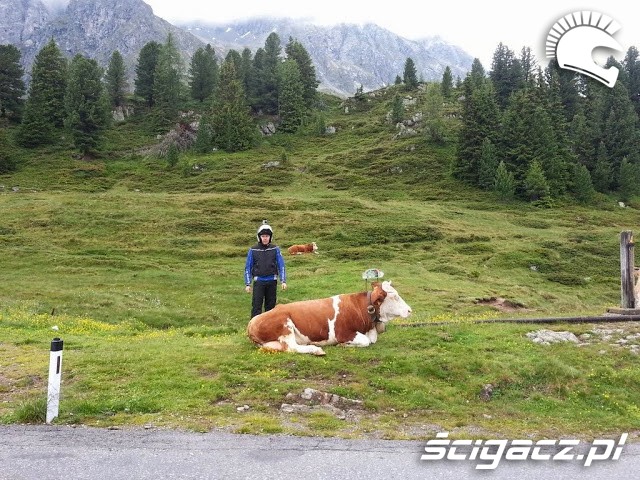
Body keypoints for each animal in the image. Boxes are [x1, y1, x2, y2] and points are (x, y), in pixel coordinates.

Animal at [247, 281, 412, 355]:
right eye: (395, 297)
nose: (410, 310)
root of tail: (252, 322)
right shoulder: (343, 333)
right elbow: (365, 342)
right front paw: (343, 345)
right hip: (285, 325)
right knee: (292, 347)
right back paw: (316, 349)